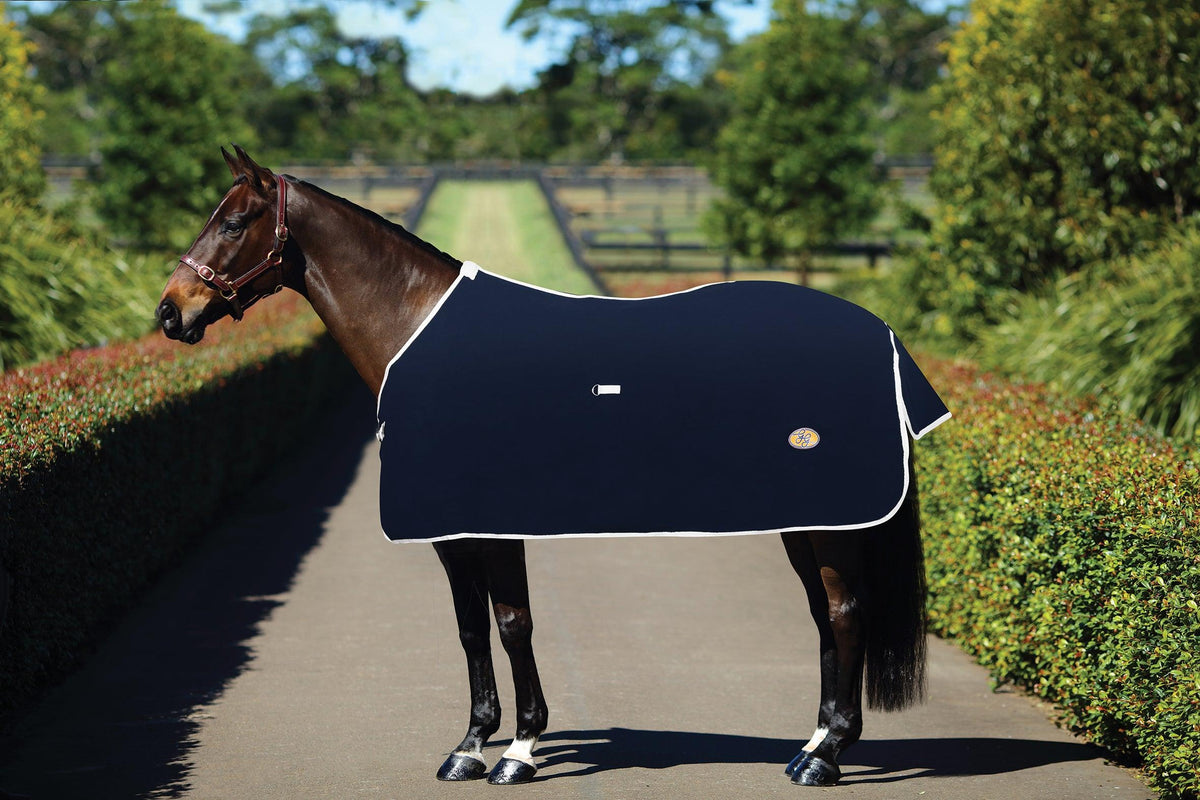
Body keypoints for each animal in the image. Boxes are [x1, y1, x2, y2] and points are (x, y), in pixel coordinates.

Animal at [157, 147, 946, 787]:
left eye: (236, 222)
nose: (170, 312)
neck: (424, 338)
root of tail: (881, 334)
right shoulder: (452, 533)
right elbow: (471, 629)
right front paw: (469, 746)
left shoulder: (496, 526)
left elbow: (512, 624)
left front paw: (519, 750)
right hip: (804, 522)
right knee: (824, 616)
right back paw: (810, 744)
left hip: (834, 522)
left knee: (846, 613)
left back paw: (826, 757)